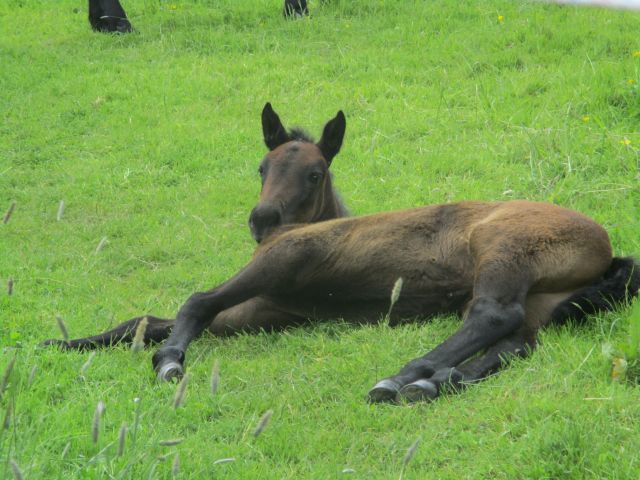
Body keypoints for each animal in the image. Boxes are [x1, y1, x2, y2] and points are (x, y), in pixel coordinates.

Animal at [50, 104, 640, 402]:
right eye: (261, 168)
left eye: (315, 173)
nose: (262, 221)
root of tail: (607, 246)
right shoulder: (254, 313)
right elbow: (147, 321)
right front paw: (65, 343)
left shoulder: (279, 262)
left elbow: (192, 303)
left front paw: (171, 362)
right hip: (544, 300)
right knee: (516, 343)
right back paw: (433, 383)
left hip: (503, 253)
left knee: (493, 315)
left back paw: (403, 378)